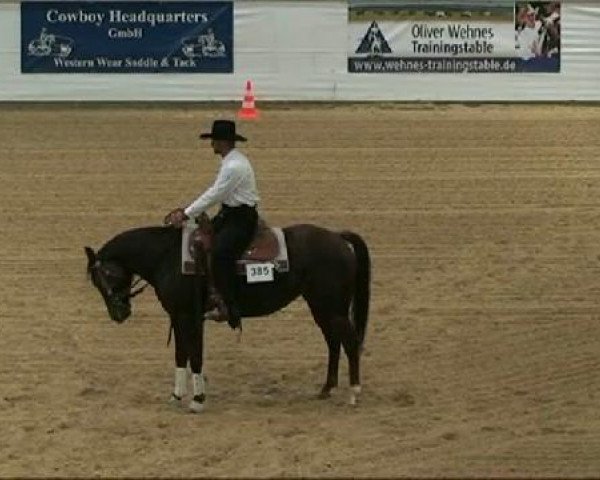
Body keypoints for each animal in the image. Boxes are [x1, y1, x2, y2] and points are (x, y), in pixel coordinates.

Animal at [84, 221, 370, 412]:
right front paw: (176, 395)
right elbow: (181, 354)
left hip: (333, 308)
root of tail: (338, 238)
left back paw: (354, 393)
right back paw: (327, 389)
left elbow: (195, 355)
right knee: (333, 343)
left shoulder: (189, 317)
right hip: (322, 308)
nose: (118, 313)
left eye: (105, 275)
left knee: (349, 342)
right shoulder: (178, 317)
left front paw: (197, 400)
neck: (167, 257)